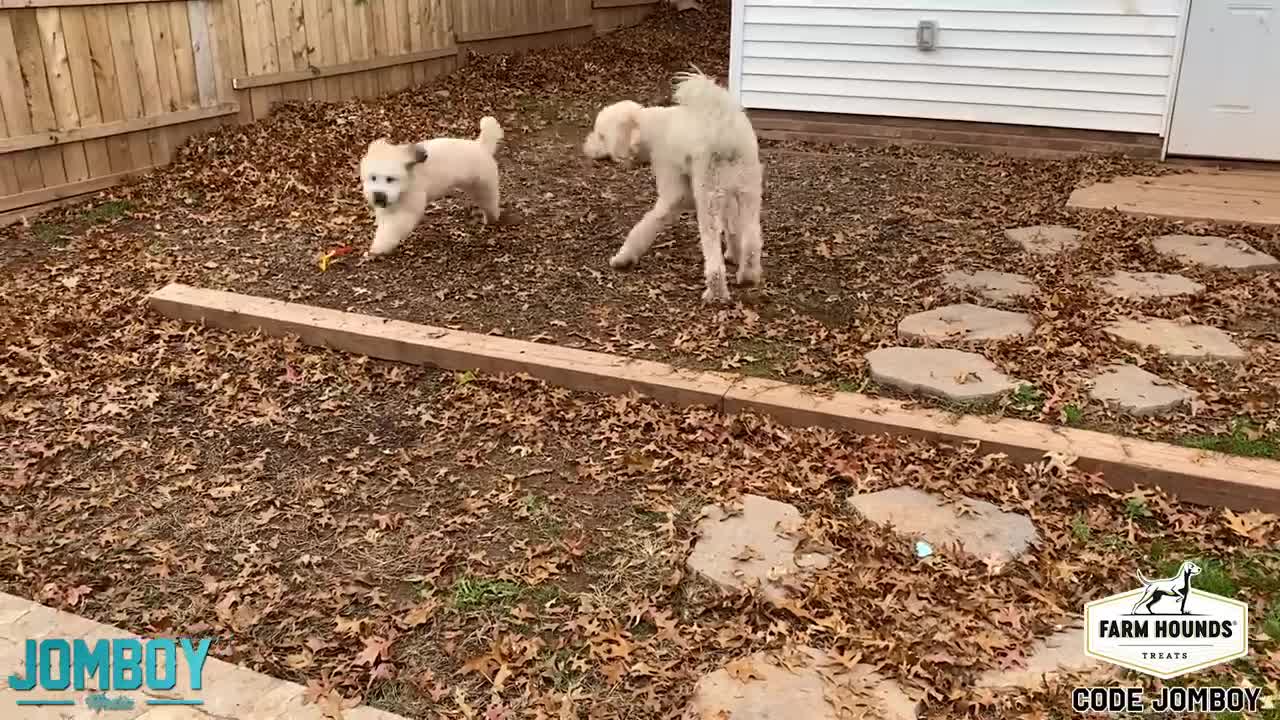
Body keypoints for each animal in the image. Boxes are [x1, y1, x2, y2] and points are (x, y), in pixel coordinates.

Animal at [360, 114, 504, 254]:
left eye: (390, 179)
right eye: (373, 177)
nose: (378, 196)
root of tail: (481, 146)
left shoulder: (407, 209)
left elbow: (392, 228)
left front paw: (379, 247)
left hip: (484, 187)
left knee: (490, 204)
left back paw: (491, 219)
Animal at [586, 68, 762, 301]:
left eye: (601, 135)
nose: (585, 146)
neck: (652, 128)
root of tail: (725, 129)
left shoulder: (675, 191)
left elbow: (647, 224)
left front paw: (624, 258)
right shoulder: (730, 196)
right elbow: (732, 227)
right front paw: (734, 254)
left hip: (708, 197)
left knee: (712, 249)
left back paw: (716, 292)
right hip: (748, 192)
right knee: (752, 238)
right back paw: (748, 274)